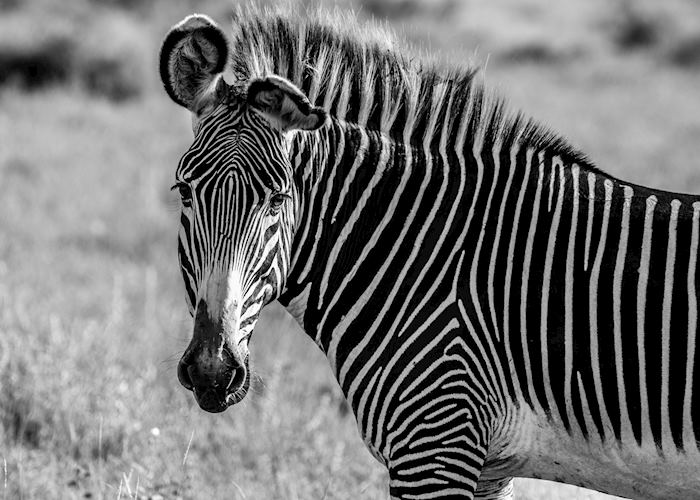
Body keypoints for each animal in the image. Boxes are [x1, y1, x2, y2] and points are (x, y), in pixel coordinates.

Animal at [158, 6, 700, 500]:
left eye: (278, 199)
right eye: (184, 192)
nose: (212, 372)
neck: (421, 253)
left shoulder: (436, 445)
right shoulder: (485, 466)